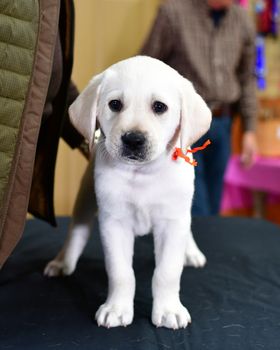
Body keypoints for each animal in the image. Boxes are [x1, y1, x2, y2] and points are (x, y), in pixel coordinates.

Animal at [44, 56, 210, 330]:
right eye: (115, 104)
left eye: (159, 107)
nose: (133, 139)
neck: (141, 174)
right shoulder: (114, 222)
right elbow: (121, 272)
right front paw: (116, 308)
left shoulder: (172, 221)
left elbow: (167, 272)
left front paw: (169, 310)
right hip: (86, 200)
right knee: (76, 233)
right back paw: (62, 262)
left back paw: (192, 252)